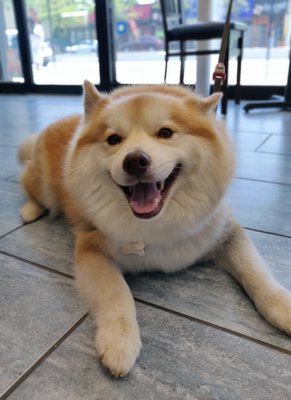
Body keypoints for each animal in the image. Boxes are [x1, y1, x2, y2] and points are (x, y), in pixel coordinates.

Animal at [18, 82, 291, 378]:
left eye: (166, 133)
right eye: (113, 139)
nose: (135, 161)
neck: (156, 223)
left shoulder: (225, 232)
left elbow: (256, 272)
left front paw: (283, 306)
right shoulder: (91, 248)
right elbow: (117, 292)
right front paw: (120, 341)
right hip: (44, 186)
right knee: (30, 187)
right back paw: (30, 211)